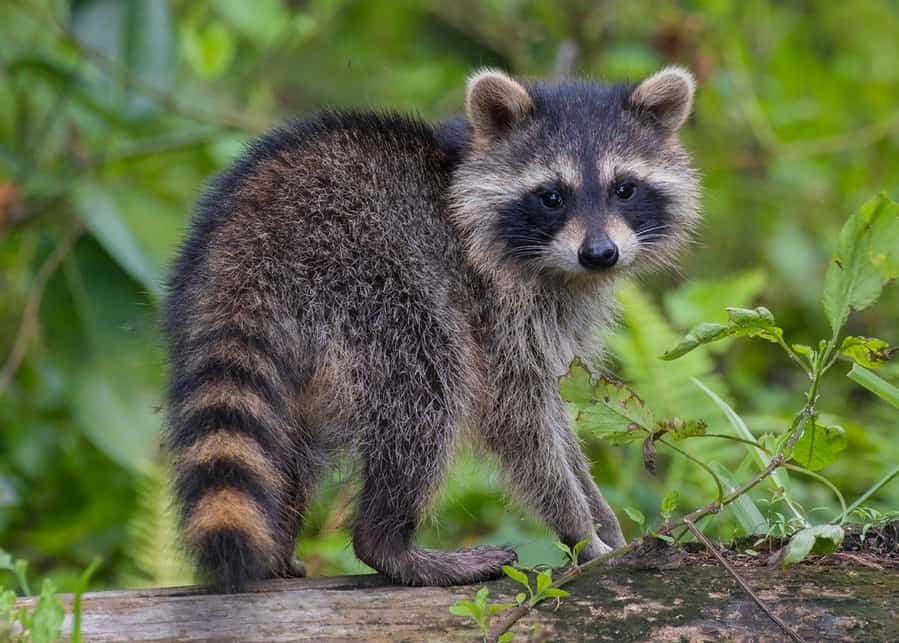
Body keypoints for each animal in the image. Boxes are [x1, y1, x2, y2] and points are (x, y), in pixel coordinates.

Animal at [167, 68, 704, 592]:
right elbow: (519, 419)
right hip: (371, 283)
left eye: (624, 188)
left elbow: (553, 410)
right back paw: (388, 542)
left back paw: (278, 547)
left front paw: (602, 517)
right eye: (552, 197)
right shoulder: (494, 304)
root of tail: (250, 245)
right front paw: (580, 528)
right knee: (427, 388)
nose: (599, 254)